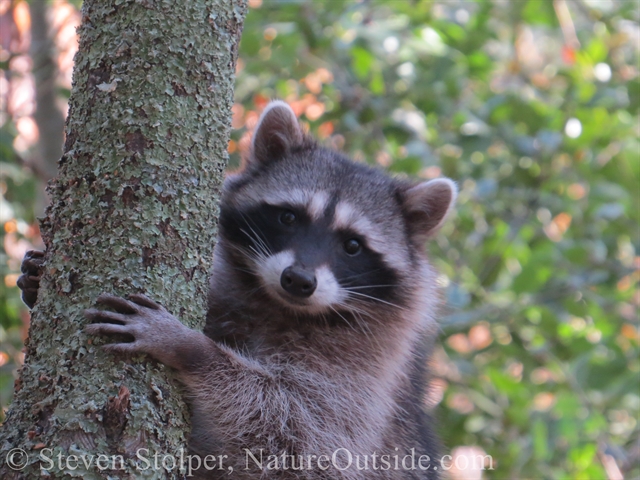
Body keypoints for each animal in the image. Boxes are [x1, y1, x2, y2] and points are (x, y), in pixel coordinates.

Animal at [18, 99, 456, 478]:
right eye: (288, 217)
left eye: (352, 245)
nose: (298, 280)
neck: (280, 306)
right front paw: (36, 278)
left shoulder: (364, 372)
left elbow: (294, 434)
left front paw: (192, 348)